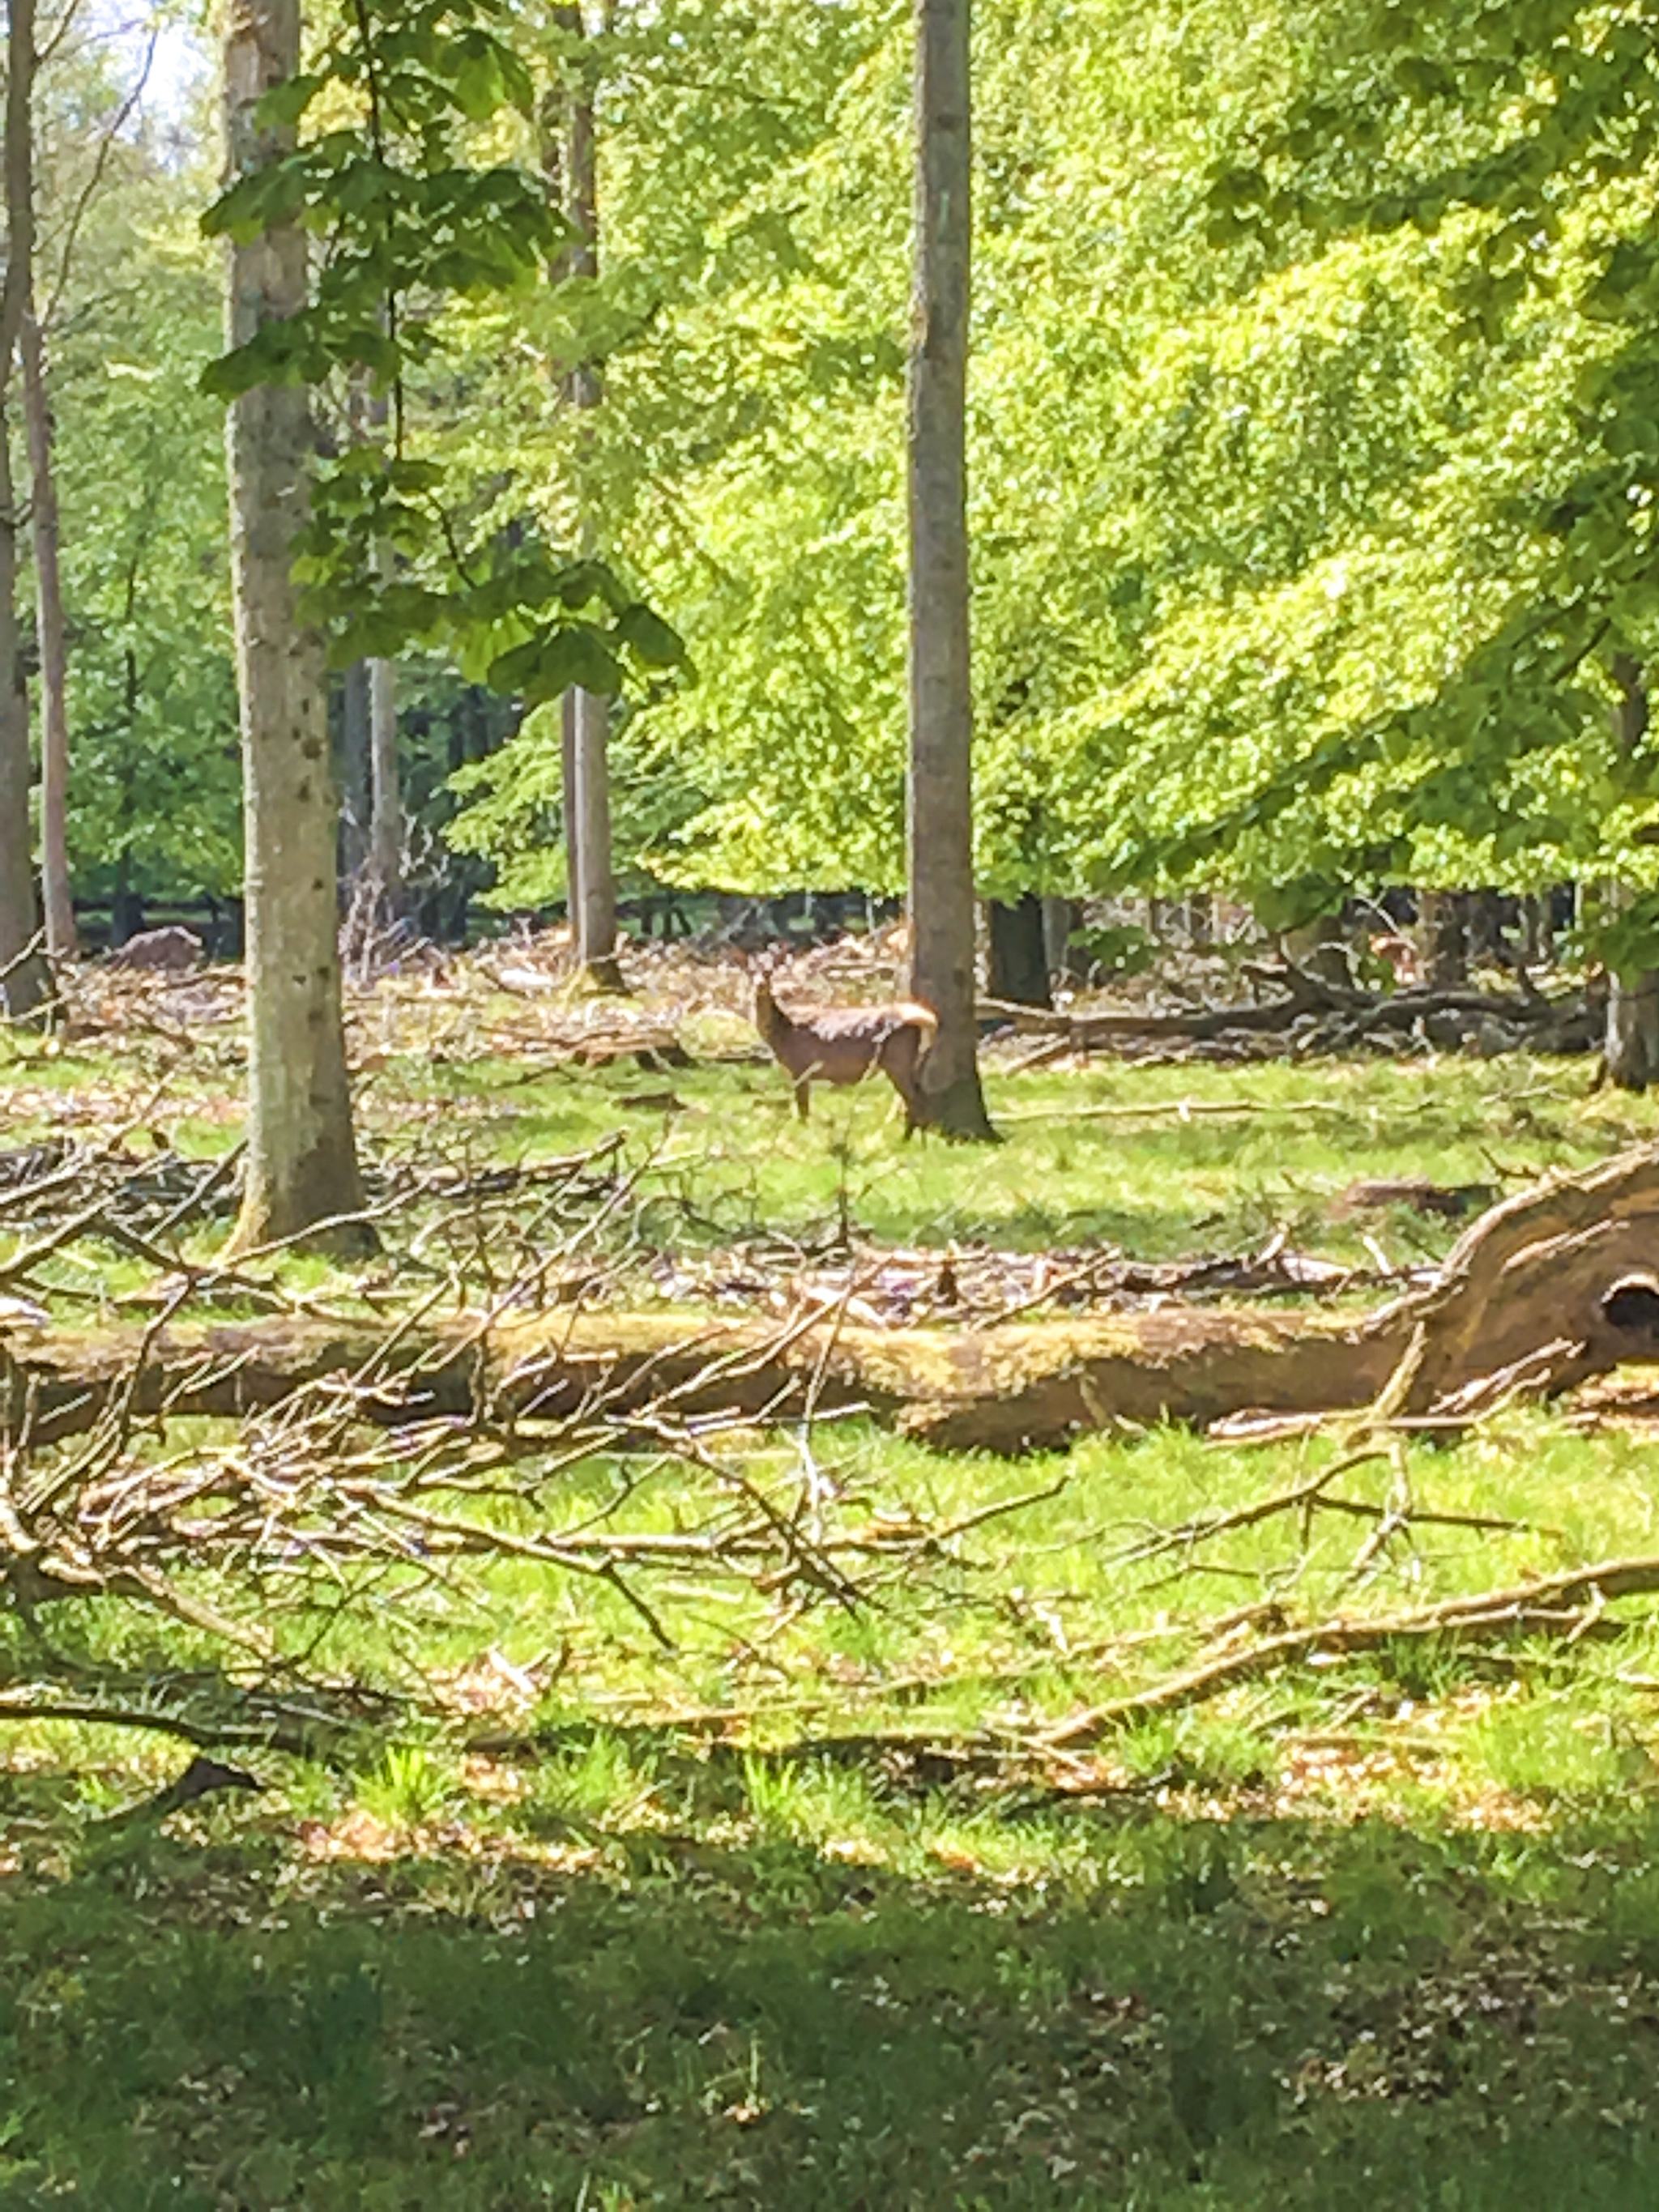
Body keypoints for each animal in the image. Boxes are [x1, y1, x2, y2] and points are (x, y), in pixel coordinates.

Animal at [752, 976, 938, 1133]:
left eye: (771, 984)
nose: (760, 986)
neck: (782, 1033)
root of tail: (926, 1021)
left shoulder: (801, 1067)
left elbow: (803, 1108)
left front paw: (803, 1131)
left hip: (897, 1063)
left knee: (914, 1101)